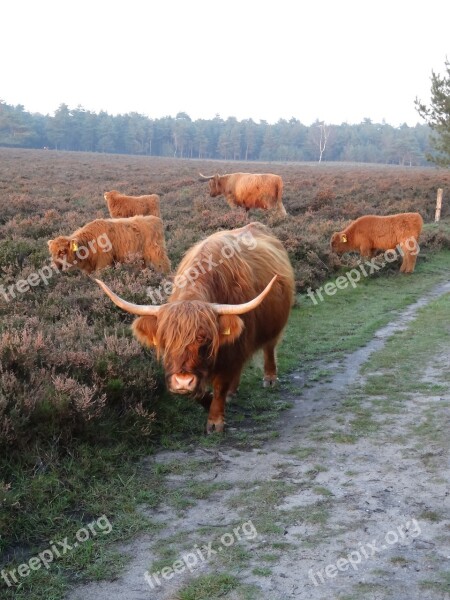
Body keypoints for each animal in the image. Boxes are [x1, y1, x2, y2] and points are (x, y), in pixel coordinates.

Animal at [94, 220, 296, 432]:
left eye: (204, 338)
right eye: (166, 341)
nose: (182, 380)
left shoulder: (230, 350)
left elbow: (220, 384)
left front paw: (215, 422)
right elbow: (198, 392)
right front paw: (208, 401)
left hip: (272, 327)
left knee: (269, 348)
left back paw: (270, 378)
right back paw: (233, 392)